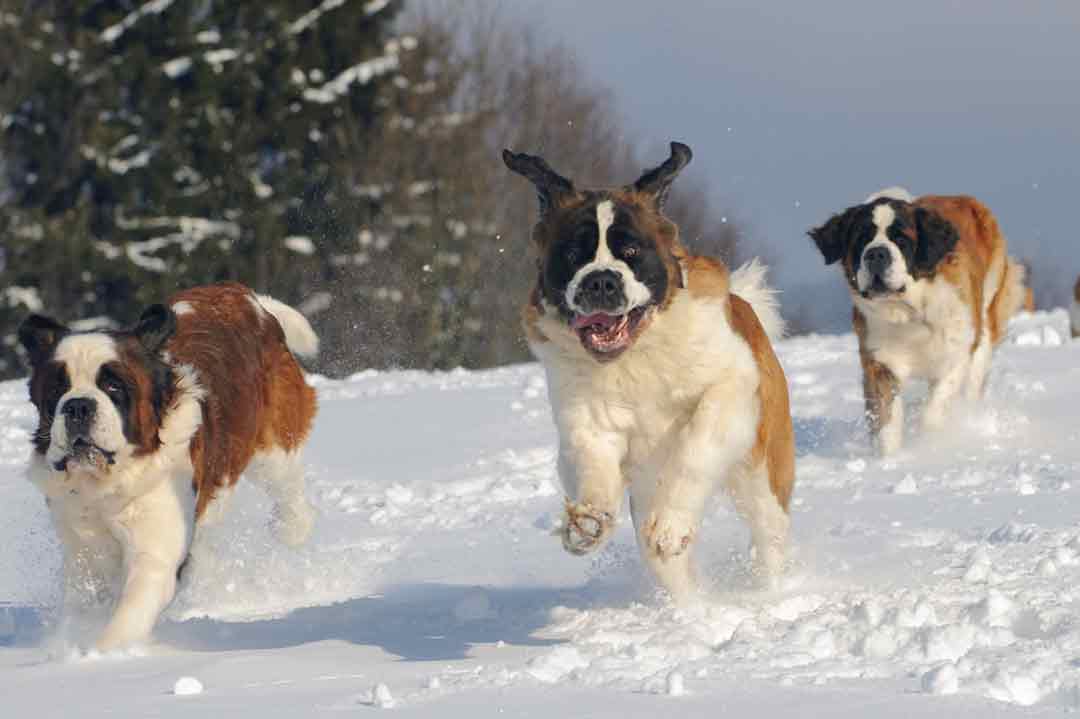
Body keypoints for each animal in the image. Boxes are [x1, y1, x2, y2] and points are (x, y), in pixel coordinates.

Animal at [19, 280, 315, 647]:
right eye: (57, 388)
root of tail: (243, 294)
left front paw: (98, 654)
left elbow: (129, 613)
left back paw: (293, 528)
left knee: (287, 485)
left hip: (272, 442)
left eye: (114, 386)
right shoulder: (85, 553)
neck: (108, 483)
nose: (77, 406)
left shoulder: (153, 552)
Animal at [503, 141, 794, 600]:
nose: (601, 281)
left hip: (762, 472)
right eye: (573, 255)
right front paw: (588, 522)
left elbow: (696, 445)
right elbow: (589, 458)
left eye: (631, 252)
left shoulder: (731, 385)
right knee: (666, 566)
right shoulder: (582, 417)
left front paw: (672, 523)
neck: (634, 352)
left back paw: (765, 590)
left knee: (768, 533)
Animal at [812, 190, 1028, 455]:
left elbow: (934, 410)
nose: (876, 253)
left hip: (986, 319)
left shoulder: (956, 353)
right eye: (862, 239)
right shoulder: (880, 363)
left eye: (901, 239)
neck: (908, 311)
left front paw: (927, 445)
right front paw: (889, 458)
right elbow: (887, 419)